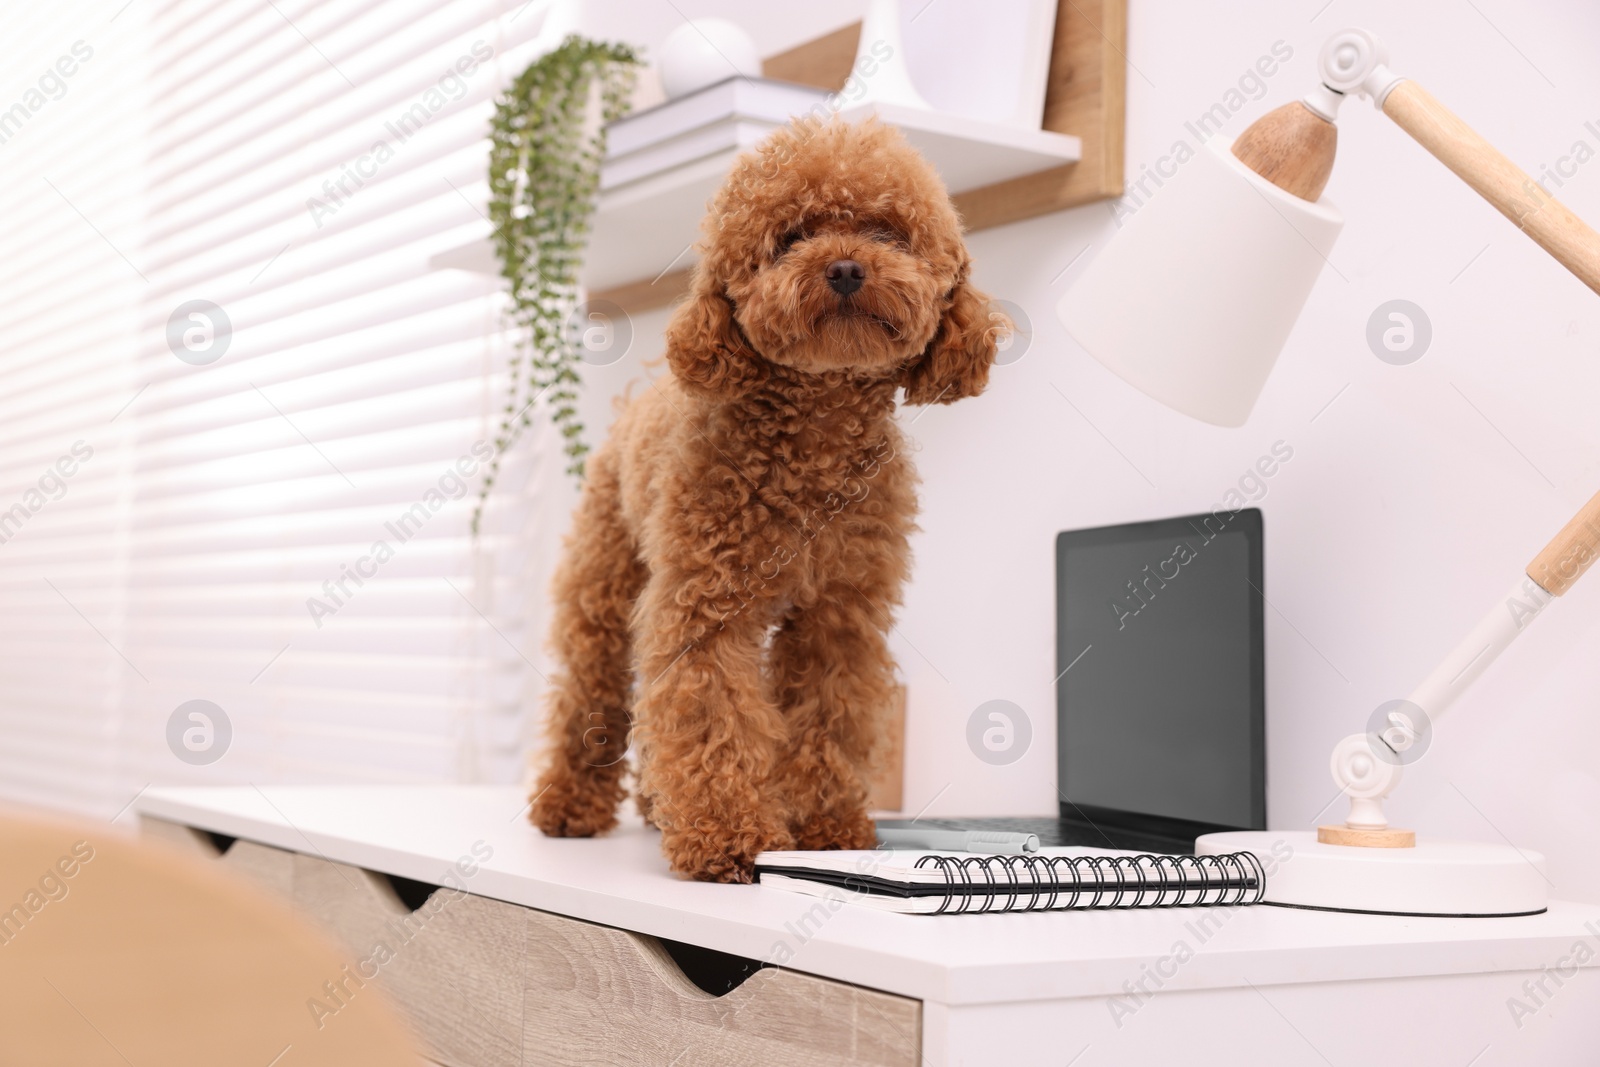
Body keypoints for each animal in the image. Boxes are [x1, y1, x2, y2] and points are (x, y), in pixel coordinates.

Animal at [528, 116, 998, 883]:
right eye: (791, 237)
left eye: (888, 232)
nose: (845, 268)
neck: (813, 444)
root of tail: (636, 398)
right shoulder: (705, 606)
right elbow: (711, 712)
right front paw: (730, 836)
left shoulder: (842, 616)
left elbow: (828, 718)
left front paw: (826, 831)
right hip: (603, 587)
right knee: (588, 694)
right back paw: (568, 806)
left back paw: (657, 809)